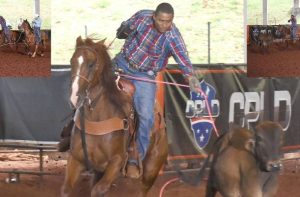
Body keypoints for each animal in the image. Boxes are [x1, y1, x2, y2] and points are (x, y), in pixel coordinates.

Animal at [61, 36, 169, 196]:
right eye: (71, 61)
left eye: (91, 64)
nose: (74, 98)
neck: (98, 119)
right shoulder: (76, 159)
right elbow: (66, 190)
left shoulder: (116, 162)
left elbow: (98, 190)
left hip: (152, 169)